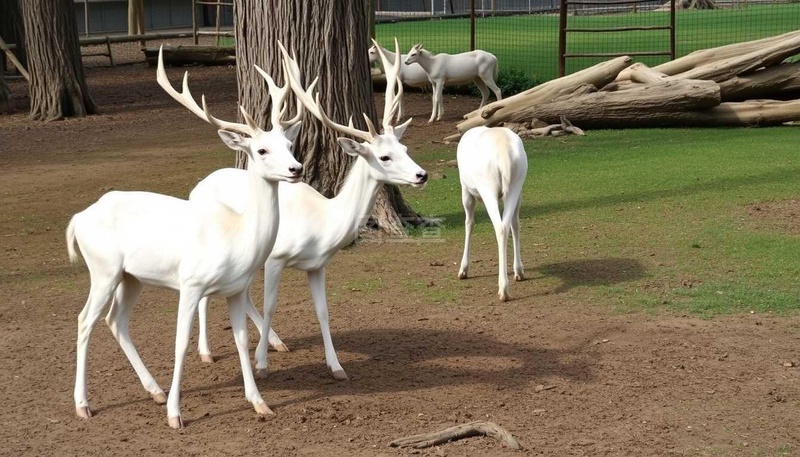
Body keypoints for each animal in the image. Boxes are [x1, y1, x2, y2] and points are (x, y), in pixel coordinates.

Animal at [66, 46, 304, 429]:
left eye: (288, 143)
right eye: (261, 151)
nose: (296, 168)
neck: (237, 238)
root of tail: (77, 219)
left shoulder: (236, 289)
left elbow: (240, 340)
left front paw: (260, 403)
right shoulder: (191, 283)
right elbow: (180, 343)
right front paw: (176, 416)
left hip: (131, 277)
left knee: (115, 321)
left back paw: (155, 391)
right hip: (102, 269)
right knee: (85, 319)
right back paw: (84, 405)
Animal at [191, 39, 427, 381]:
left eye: (405, 148)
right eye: (384, 157)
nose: (422, 175)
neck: (322, 224)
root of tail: (197, 186)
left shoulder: (318, 265)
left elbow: (323, 311)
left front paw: (337, 366)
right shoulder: (275, 258)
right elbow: (271, 304)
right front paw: (261, 365)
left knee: (242, 294)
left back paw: (277, 342)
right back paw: (207, 352)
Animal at [456, 126, 528, 301]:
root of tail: (504, 153)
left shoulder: (465, 190)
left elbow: (469, 223)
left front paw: (463, 270)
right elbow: (516, 223)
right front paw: (519, 270)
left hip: (487, 187)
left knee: (499, 226)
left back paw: (503, 290)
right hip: (516, 185)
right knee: (510, 224)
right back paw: (517, 273)